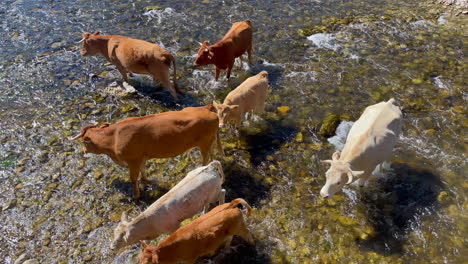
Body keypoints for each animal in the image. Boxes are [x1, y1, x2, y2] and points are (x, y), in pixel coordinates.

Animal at [67, 105, 225, 200]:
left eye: (84, 142)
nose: (81, 151)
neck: (114, 137)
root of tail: (206, 108)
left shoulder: (133, 160)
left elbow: (133, 179)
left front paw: (136, 196)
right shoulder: (141, 157)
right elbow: (143, 172)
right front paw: (145, 180)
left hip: (204, 143)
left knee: (205, 160)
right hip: (209, 141)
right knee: (211, 155)